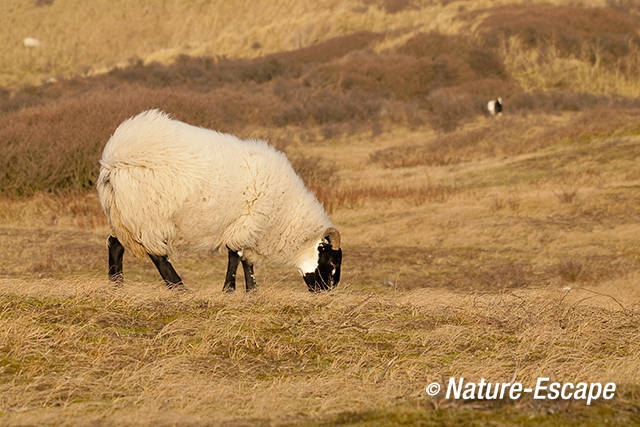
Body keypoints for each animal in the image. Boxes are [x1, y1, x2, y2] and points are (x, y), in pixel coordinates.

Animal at [95, 108, 342, 292]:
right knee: (157, 255)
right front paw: (231, 290)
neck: (286, 214)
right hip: (148, 214)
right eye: (331, 262)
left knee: (114, 243)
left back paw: (117, 285)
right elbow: (236, 256)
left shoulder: (247, 227)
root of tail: (113, 160)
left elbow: (245, 259)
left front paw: (251, 291)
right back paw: (179, 287)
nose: (327, 291)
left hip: (124, 215)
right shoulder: (246, 224)